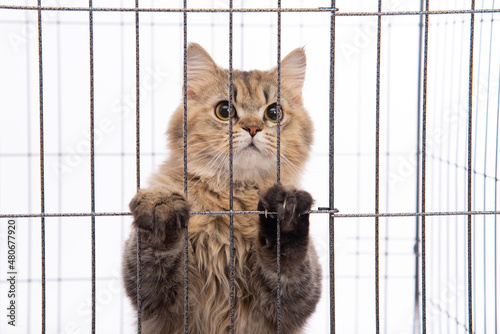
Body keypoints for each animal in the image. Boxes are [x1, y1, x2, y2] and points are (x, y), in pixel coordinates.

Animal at [123, 44, 322, 334]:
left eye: (274, 113)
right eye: (225, 111)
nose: (253, 128)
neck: (232, 199)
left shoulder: (292, 303)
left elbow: (290, 262)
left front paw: (285, 215)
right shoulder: (157, 300)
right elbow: (156, 251)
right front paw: (161, 207)